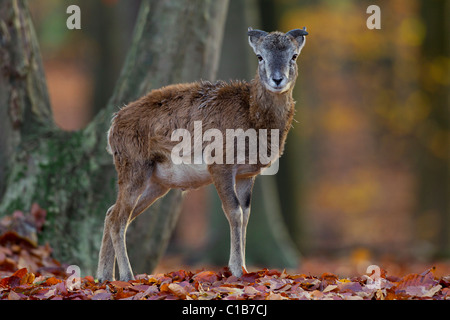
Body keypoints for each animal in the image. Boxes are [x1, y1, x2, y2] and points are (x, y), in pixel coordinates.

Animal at [96, 28, 308, 282]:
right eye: (259, 56)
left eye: (294, 55)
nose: (277, 79)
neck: (252, 121)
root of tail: (111, 127)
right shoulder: (219, 162)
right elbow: (234, 211)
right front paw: (236, 270)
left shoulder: (247, 173)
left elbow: (246, 213)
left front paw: (245, 268)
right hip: (133, 165)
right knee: (118, 218)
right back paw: (127, 276)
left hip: (157, 182)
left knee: (113, 212)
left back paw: (104, 276)